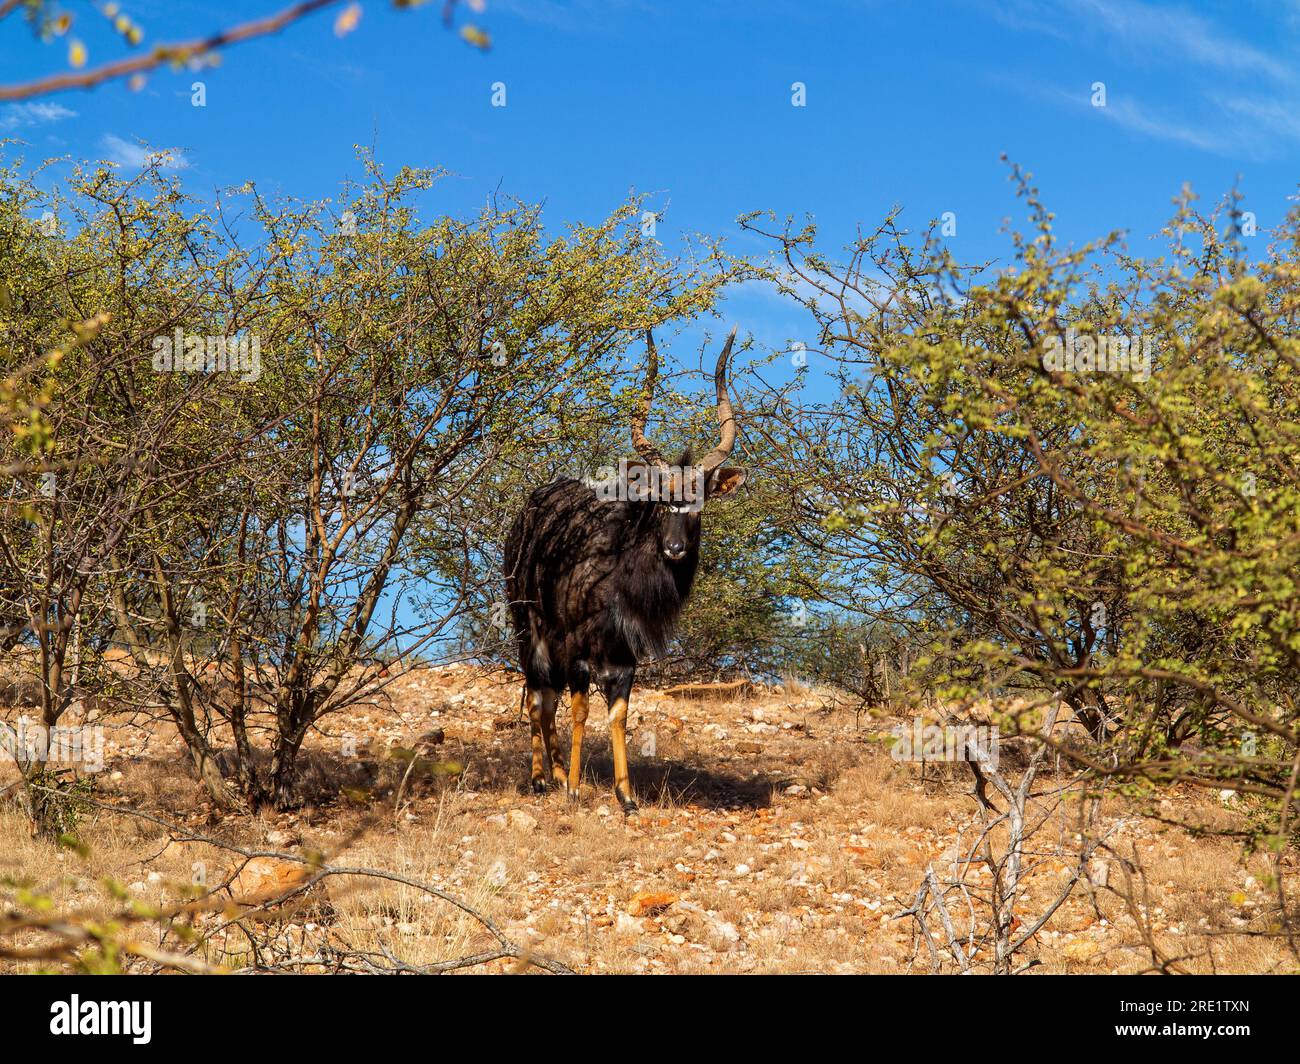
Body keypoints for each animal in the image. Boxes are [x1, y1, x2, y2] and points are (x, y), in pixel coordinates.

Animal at [504, 327, 748, 806]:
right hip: (530, 628)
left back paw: (555, 773)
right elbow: (580, 709)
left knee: (546, 696)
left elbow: (618, 712)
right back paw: (543, 778)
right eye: (660, 499)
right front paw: (575, 788)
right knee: (537, 695)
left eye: (699, 502)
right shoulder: (579, 646)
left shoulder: (624, 654)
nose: (675, 548)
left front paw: (626, 797)